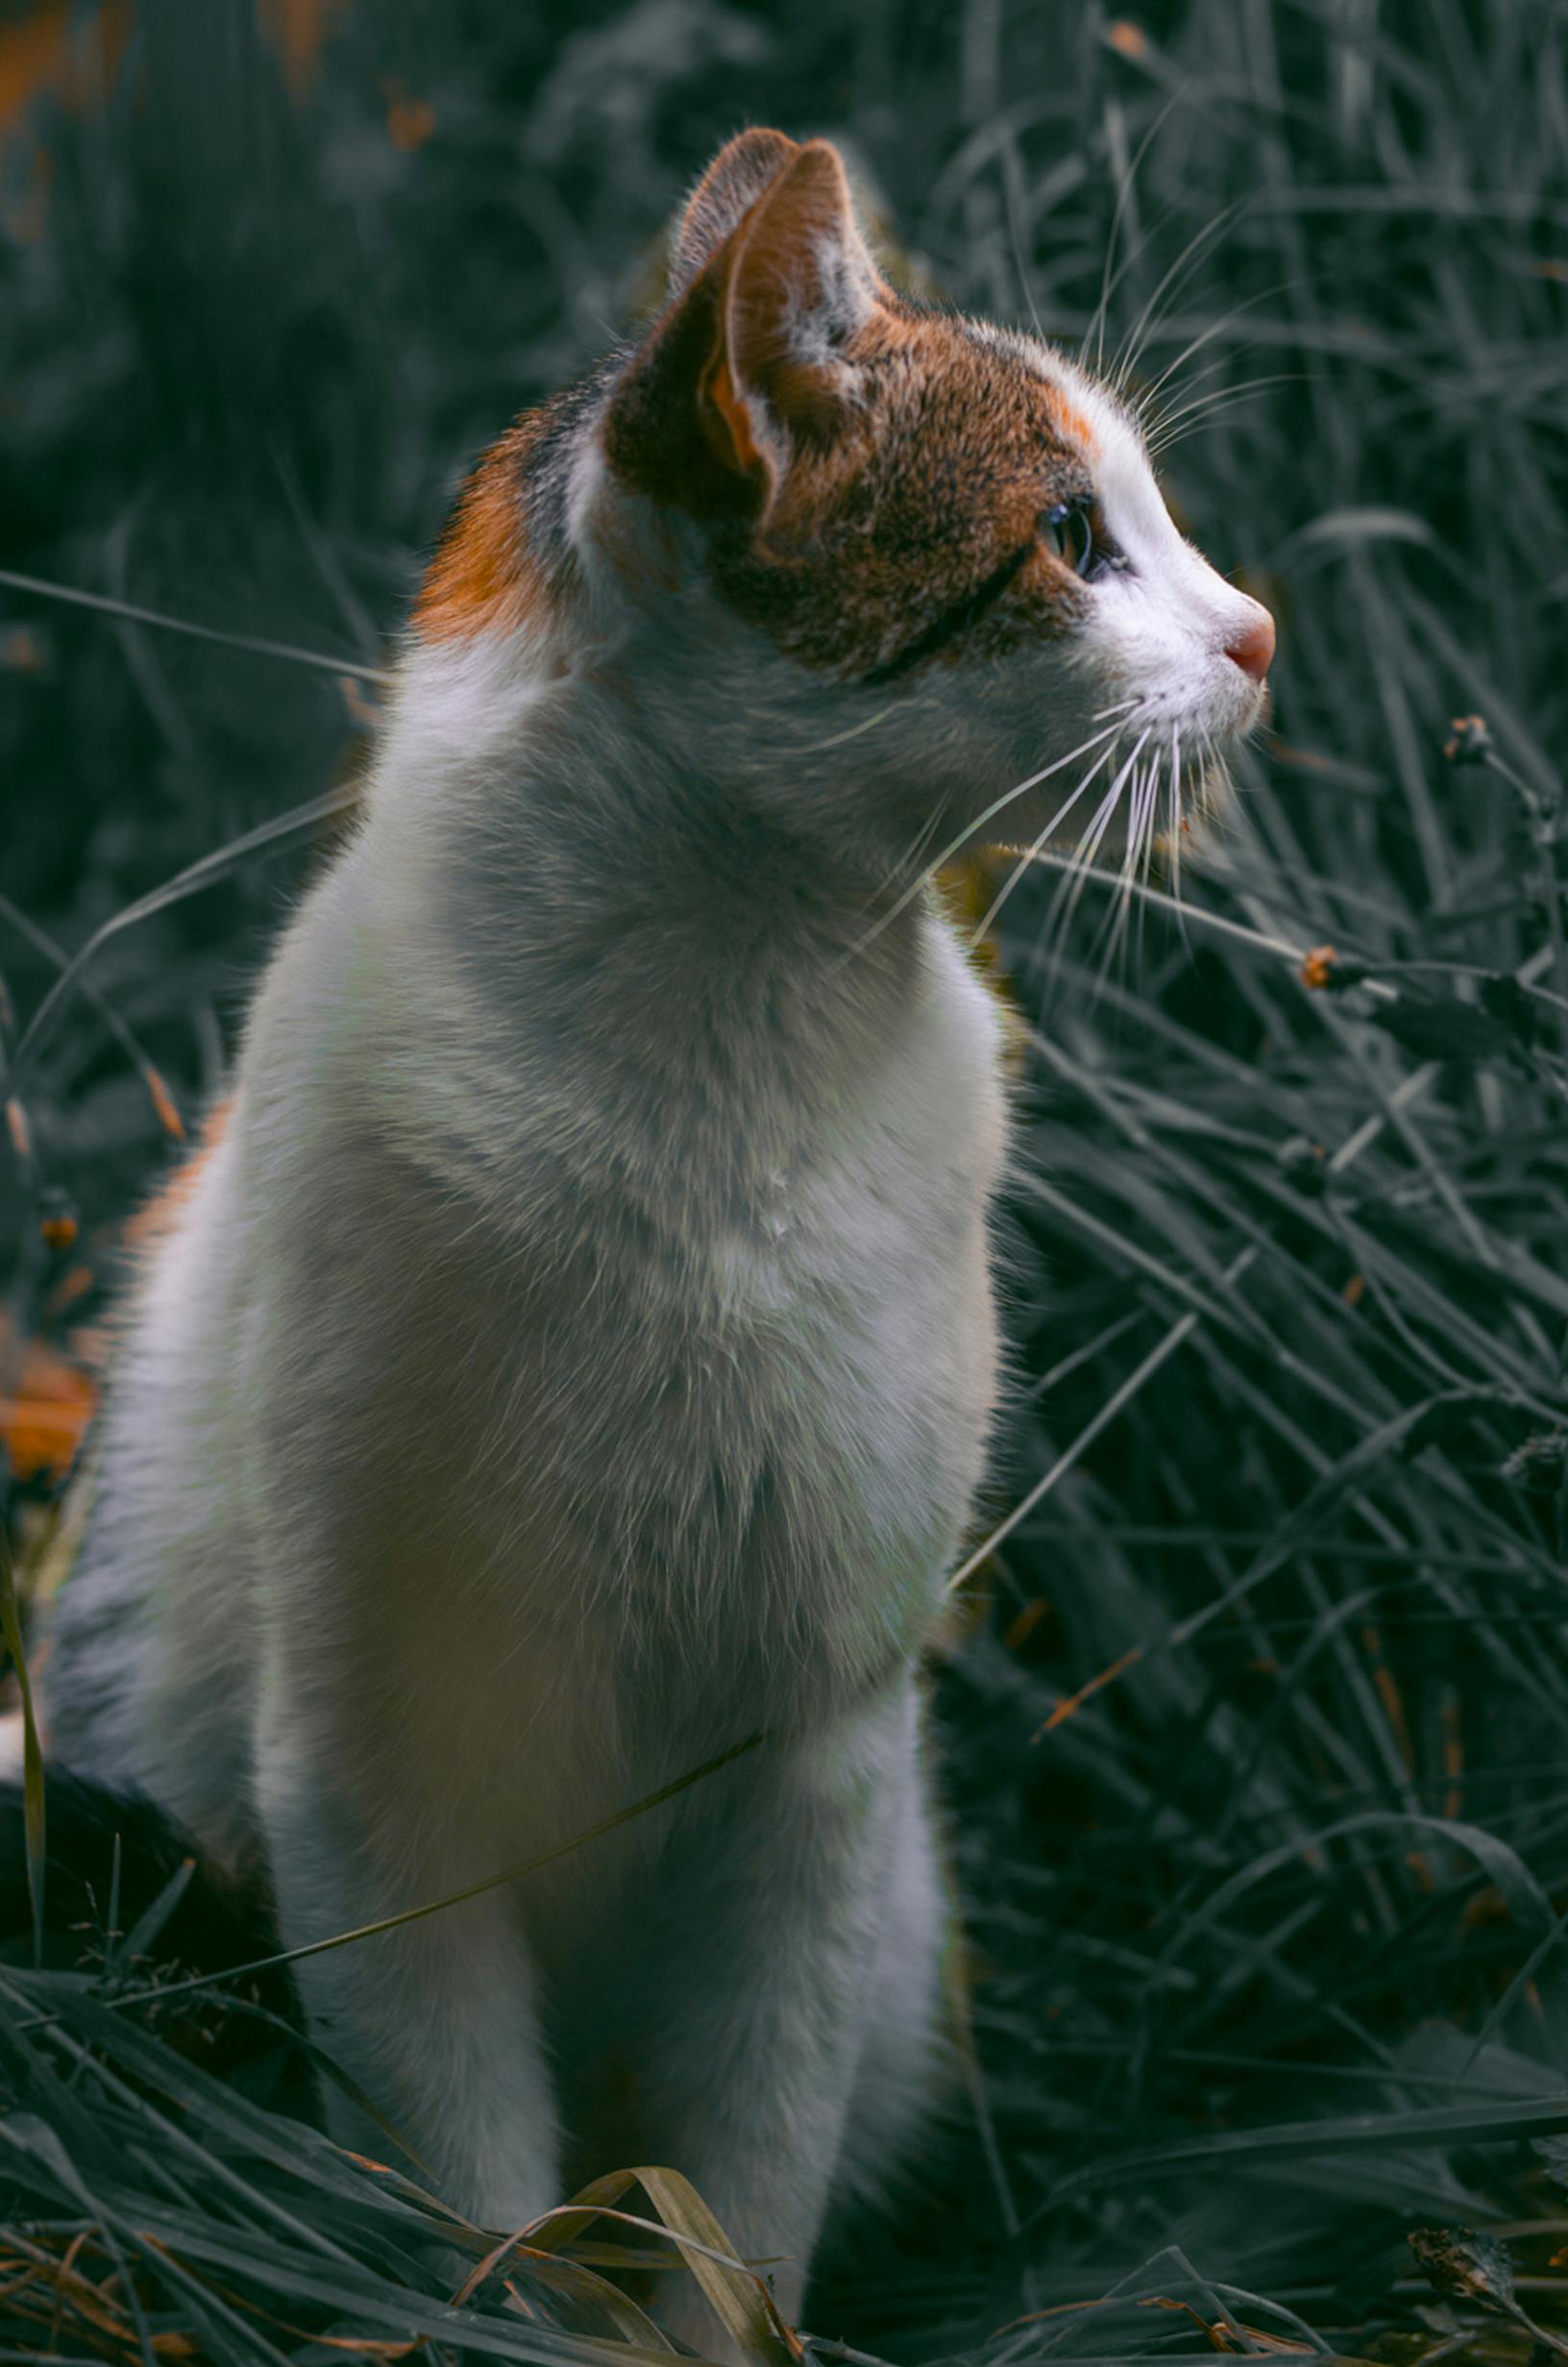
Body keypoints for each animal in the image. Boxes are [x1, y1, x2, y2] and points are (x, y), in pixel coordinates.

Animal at [31, 124, 1267, 2348]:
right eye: (1071, 536)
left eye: (1148, 516)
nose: (1265, 633)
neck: (727, 1063)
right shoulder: (375, 1784)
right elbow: (470, 2188)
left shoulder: (817, 1762)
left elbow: (738, 2181)